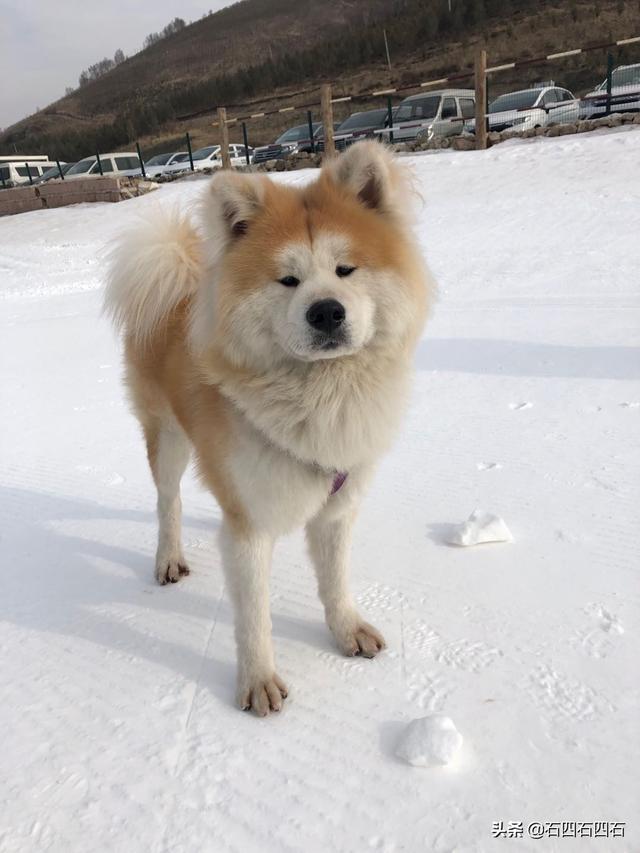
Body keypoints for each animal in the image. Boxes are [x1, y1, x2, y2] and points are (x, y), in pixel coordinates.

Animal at [106, 141, 436, 712]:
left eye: (346, 269)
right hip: (166, 438)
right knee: (168, 502)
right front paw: (258, 681)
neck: (320, 397)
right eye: (288, 280)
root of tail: (176, 275)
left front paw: (346, 630)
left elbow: (335, 581)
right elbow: (253, 616)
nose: (326, 312)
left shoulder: (336, 507)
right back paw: (168, 557)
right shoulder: (251, 528)